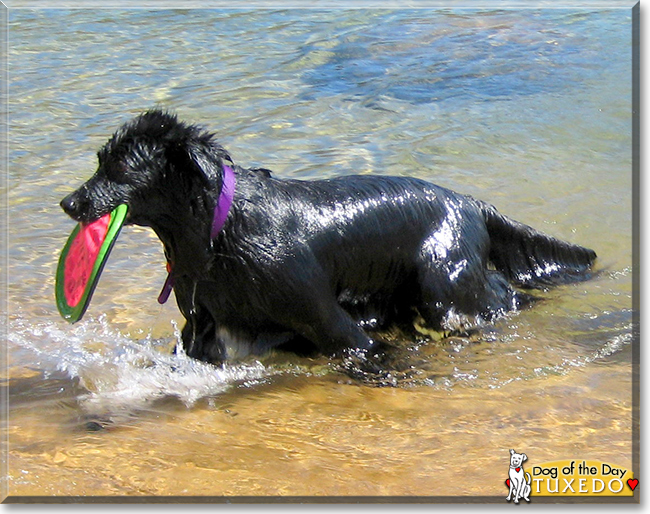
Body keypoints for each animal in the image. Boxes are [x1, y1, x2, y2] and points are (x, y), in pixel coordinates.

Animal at [63, 110, 596, 362]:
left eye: (119, 168)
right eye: (98, 162)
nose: (68, 203)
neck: (220, 234)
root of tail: (468, 201)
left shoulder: (327, 318)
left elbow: (360, 348)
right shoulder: (204, 326)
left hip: (444, 285)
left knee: (500, 293)